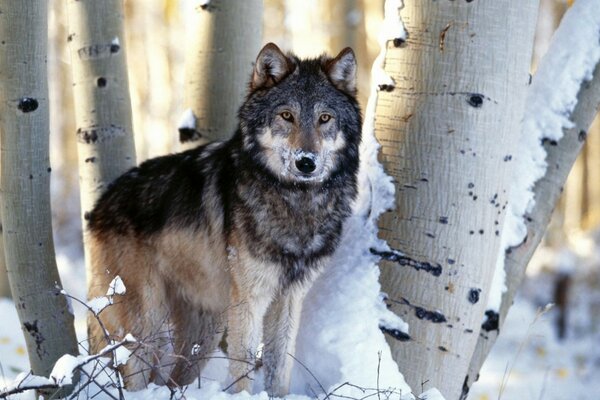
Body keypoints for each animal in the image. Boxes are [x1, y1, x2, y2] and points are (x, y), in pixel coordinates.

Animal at [85, 42, 360, 396]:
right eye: (287, 115)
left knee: (172, 380)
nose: (306, 162)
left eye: (325, 118)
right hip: (147, 324)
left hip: (205, 330)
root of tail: (99, 206)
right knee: (134, 375)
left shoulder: (289, 298)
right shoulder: (249, 299)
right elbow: (243, 368)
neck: (296, 202)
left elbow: (279, 368)